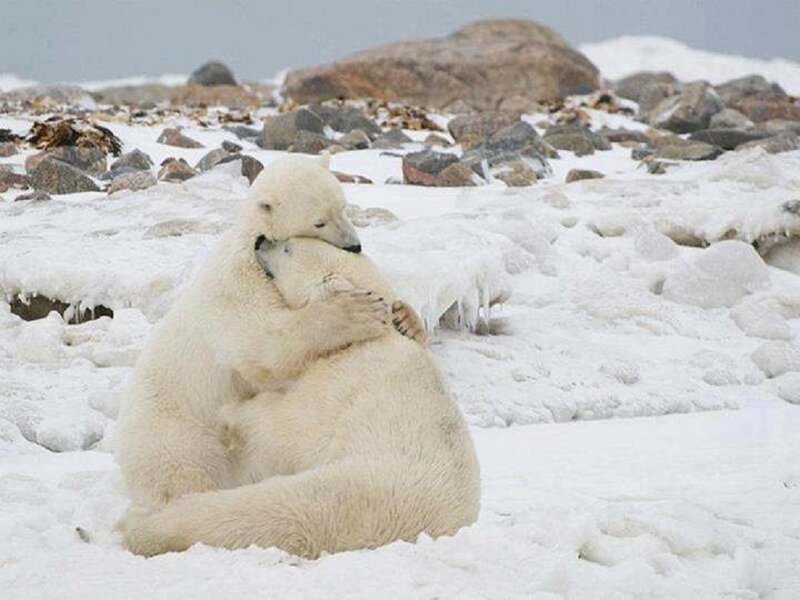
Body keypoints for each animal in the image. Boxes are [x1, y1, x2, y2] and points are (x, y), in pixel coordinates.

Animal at [116, 155, 422, 511]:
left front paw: (406, 318)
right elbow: (261, 344)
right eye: (319, 222)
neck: (254, 240)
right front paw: (354, 312)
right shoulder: (240, 281)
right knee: (185, 472)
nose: (354, 245)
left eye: (343, 207)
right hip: (177, 434)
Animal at [121, 236, 480, 558]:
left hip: (349, 484)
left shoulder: (336, 382)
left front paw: (234, 414)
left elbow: (282, 420)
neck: (373, 341)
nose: (260, 240)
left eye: (289, 248)